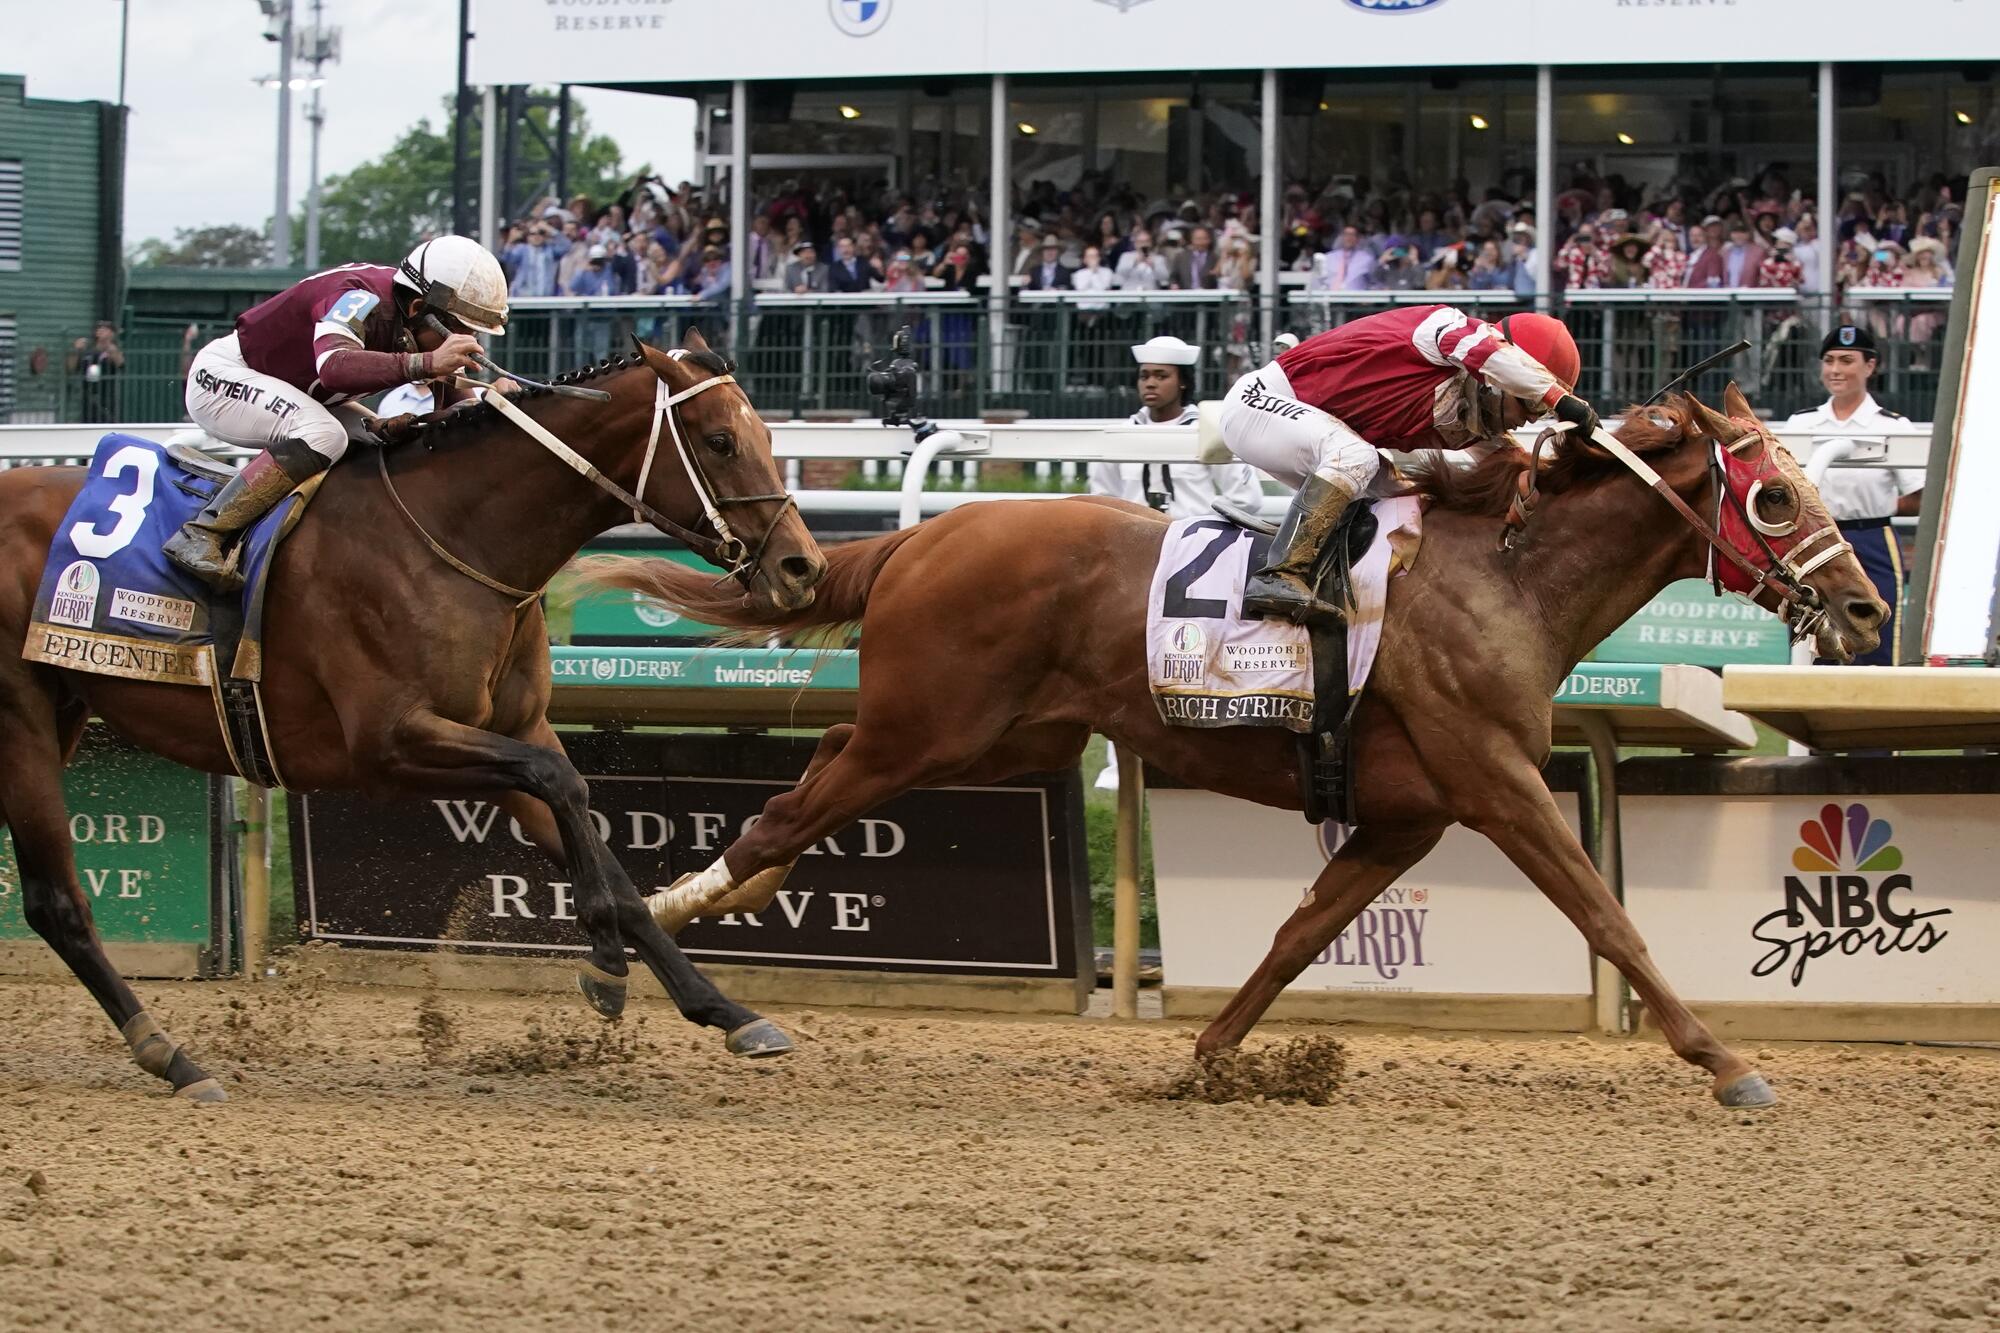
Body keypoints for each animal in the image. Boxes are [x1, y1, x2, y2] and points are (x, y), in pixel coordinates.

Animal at [0, 326, 820, 1096]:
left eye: (765, 435)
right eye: (720, 441)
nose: (801, 567)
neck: (454, 537)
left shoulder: (509, 731)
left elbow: (601, 845)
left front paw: (722, 1009)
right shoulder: (391, 744)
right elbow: (561, 784)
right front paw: (609, 962)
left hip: (62, 712)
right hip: (22, 724)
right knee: (56, 902)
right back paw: (174, 1057)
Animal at [588, 386, 1888, 1112]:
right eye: (1772, 497)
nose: (1867, 609)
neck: (1504, 575)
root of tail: (925, 535)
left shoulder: (1408, 813)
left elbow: (1297, 933)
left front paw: (1208, 1055)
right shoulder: (1496, 783)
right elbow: (1608, 916)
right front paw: (1724, 1060)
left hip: (989, 739)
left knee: (801, 796)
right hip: (925, 728)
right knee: (778, 816)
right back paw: (652, 943)